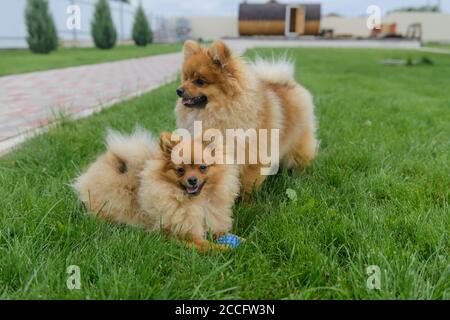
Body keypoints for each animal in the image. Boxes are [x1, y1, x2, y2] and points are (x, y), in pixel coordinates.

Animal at [74, 129, 241, 250]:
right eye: (180, 170)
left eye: (202, 168)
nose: (192, 180)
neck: (197, 202)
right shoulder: (178, 234)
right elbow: (204, 245)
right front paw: (223, 248)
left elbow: (223, 232)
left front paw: (240, 239)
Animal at [174, 40, 318, 195]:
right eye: (186, 78)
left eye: (200, 81)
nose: (179, 90)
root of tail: (288, 82)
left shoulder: (252, 157)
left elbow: (248, 184)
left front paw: (246, 200)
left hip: (298, 141)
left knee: (300, 159)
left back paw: (301, 176)